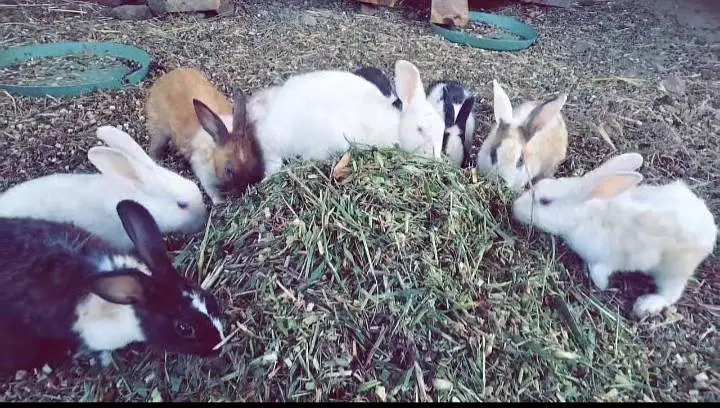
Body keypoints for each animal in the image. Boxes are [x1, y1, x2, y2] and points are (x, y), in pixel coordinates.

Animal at [145, 67, 265, 204]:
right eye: (228, 170)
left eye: (255, 159)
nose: (244, 190)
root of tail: (164, 79)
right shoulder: (204, 175)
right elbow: (212, 192)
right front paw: (220, 202)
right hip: (160, 130)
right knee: (155, 147)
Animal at [512, 152, 719, 318]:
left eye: (545, 201)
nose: (514, 207)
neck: (582, 217)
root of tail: (710, 227)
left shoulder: (611, 259)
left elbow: (599, 271)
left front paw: (601, 284)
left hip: (673, 268)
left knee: (671, 293)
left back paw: (646, 305)